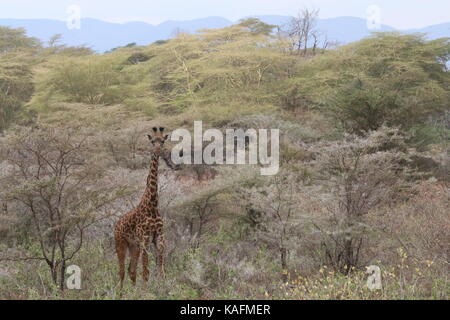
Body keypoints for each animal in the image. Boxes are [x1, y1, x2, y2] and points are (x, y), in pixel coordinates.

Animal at [113, 126, 178, 288]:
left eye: (162, 141)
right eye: (152, 141)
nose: (157, 151)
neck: (152, 205)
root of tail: (116, 224)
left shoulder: (159, 238)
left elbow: (161, 271)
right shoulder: (145, 239)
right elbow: (146, 271)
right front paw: (146, 290)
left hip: (134, 246)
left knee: (131, 270)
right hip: (120, 243)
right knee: (122, 271)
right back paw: (121, 292)